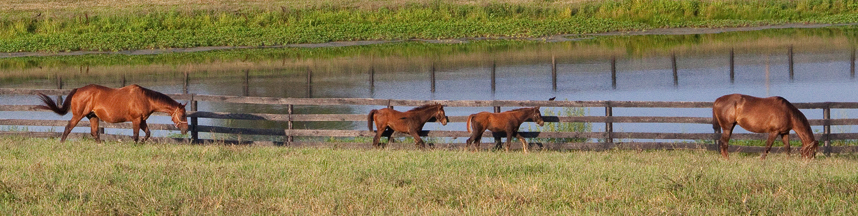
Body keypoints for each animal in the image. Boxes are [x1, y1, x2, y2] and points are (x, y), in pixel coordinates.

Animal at [35, 84, 187, 143]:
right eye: (183, 115)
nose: (186, 129)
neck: (144, 98)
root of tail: (78, 90)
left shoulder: (142, 120)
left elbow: (148, 133)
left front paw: (143, 143)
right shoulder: (136, 120)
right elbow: (135, 136)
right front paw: (136, 145)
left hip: (93, 117)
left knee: (95, 133)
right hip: (78, 115)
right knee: (68, 128)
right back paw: (61, 143)